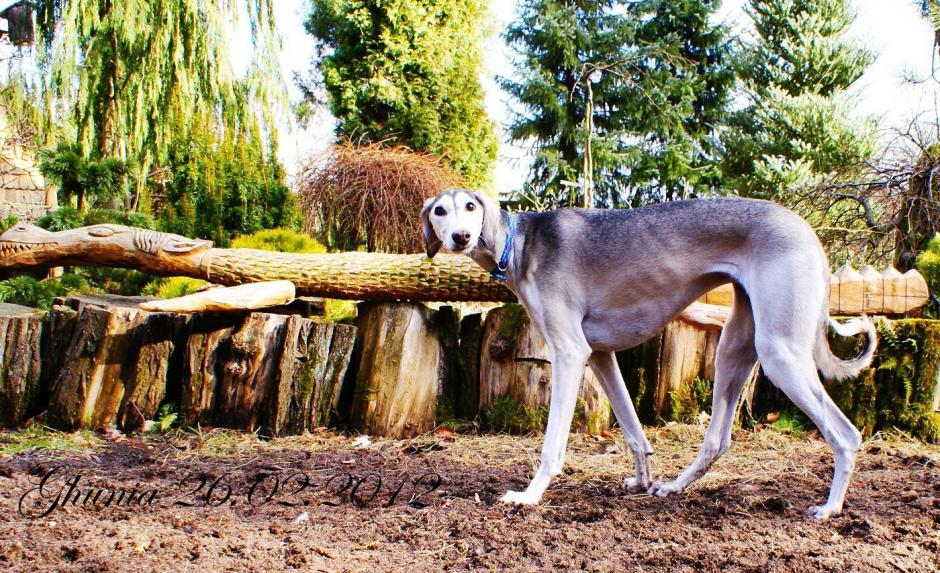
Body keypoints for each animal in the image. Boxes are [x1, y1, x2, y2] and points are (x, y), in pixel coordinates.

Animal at [422, 190, 876, 520]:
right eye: (440, 210)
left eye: (470, 207)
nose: (460, 237)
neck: (521, 243)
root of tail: (809, 232)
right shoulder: (600, 356)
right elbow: (633, 430)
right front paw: (641, 480)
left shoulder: (570, 353)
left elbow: (553, 445)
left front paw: (529, 495)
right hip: (734, 348)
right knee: (717, 439)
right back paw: (672, 487)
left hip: (780, 352)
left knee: (846, 435)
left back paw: (830, 508)